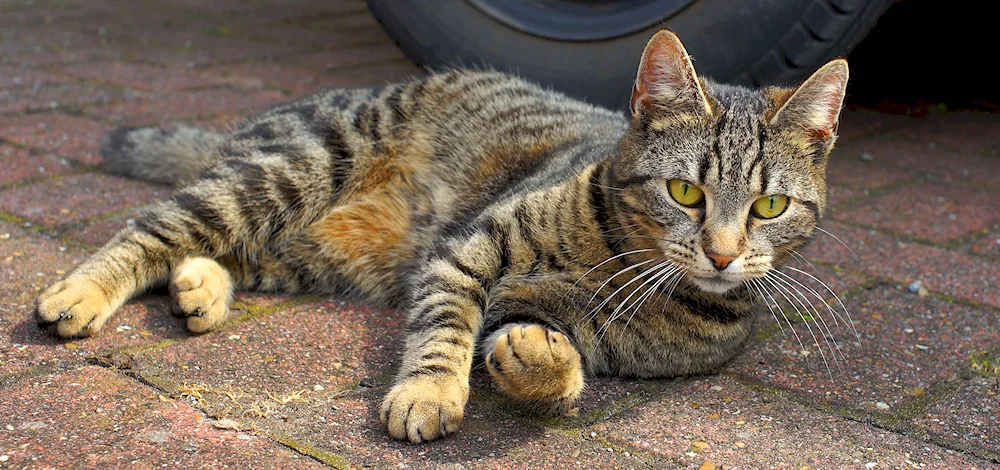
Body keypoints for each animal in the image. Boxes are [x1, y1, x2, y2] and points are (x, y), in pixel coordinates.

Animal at [39, 31, 852, 442]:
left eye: (771, 206)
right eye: (686, 192)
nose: (721, 252)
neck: (618, 263)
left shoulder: (572, 324)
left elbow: (551, 354)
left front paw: (538, 360)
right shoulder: (467, 250)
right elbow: (446, 325)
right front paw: (429, 390)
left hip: (310, 248)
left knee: (220, 251)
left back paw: (199, 288)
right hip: (286, 171)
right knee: (153, 229)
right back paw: (79, 293)